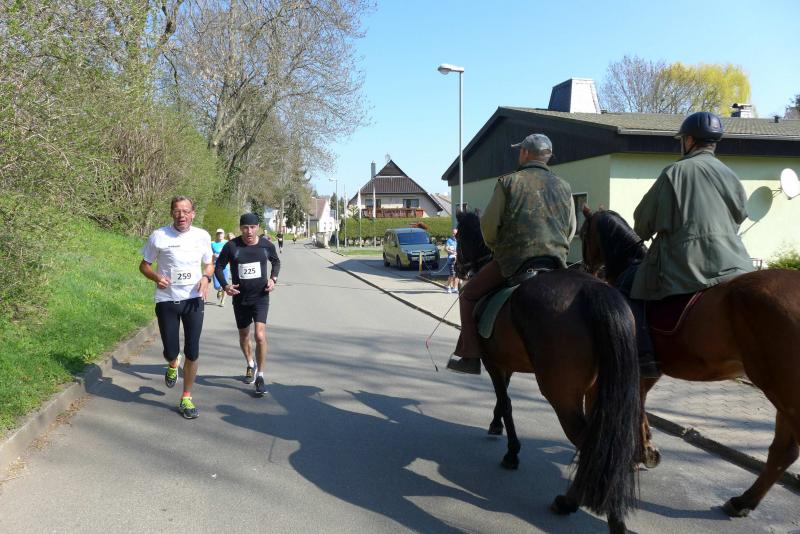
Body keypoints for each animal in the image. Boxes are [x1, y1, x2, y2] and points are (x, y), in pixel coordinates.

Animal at [454, 210, 641, 533]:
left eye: (461, 235)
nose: (456, 265)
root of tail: (592, 289)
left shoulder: (493, 362)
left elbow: (506, 402)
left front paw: (511, 452)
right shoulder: (506, 362)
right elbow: (502, 402)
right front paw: (496, 426)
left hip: (561, 394)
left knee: (590, 446)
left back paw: (576, 505)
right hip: (598, 391)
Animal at [579, 205, 800, 517]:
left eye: (583, 233)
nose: (587, 268)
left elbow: (638, 408)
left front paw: (640, 454)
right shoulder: (648, 372)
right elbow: (641, 407)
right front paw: (646, 452)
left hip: (780, 389)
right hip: (783, 393)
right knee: (783, 451)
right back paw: (743, 502)